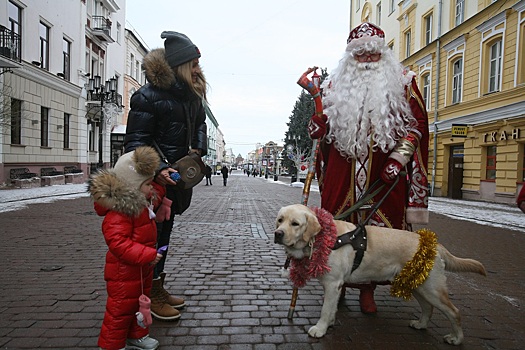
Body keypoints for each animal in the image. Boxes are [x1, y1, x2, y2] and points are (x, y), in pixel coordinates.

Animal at [274, 204, 488, 346]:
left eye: (295, 223)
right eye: (280, 220)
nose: (278, 233)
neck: (323, 239)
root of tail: (433, 244)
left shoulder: (333, 283)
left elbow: (326, 309)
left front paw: (320, 329)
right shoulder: (336, 286)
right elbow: (332, 307)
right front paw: (330, 323)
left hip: (432, 288)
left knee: (454, 312)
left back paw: (456, 338)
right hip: (418, 284)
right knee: (428, 307)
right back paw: (420, 324)